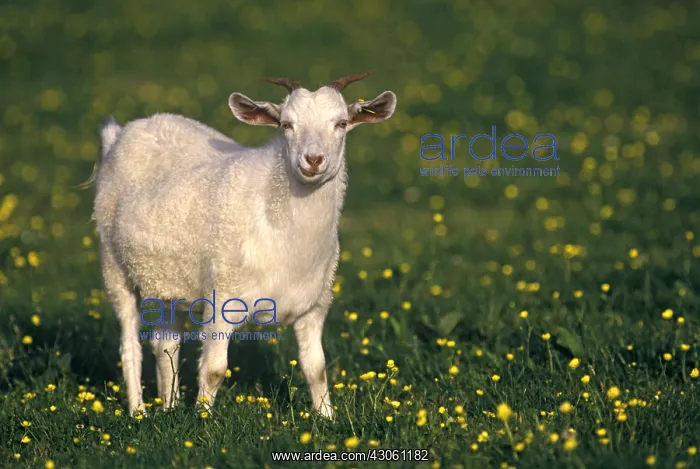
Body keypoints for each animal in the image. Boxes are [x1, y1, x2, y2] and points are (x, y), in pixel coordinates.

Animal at [83, 71, 397, 418]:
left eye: (341, 123)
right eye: (286, 124)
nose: (313, 160)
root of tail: (124, 132)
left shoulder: (314, 305)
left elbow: (316, 368)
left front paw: (328, 418)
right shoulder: (222, 299)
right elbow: (214, 369)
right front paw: (202, 419)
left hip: (168, 282)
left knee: (166, 343)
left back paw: (169, 407)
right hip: (114, 267)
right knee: (129, 344)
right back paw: (139, 410)